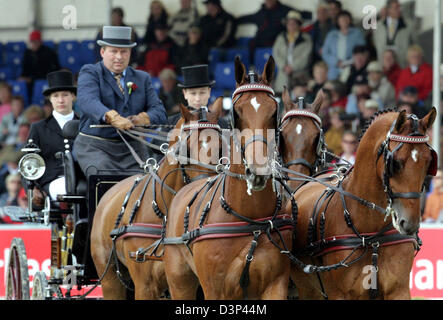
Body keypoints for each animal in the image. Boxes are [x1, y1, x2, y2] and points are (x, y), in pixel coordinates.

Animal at [163, 56, 294, 298]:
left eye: (274, 112)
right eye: (236, 113)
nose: (258, 171)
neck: (250, 219)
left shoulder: (276, 284)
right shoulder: (215, 289)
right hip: (179, 281)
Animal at [288, 109, 438, 300]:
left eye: (429, 163)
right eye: (396, 163)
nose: (410, 224)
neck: (372, 234)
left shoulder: (399, 290)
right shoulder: (340, 294)